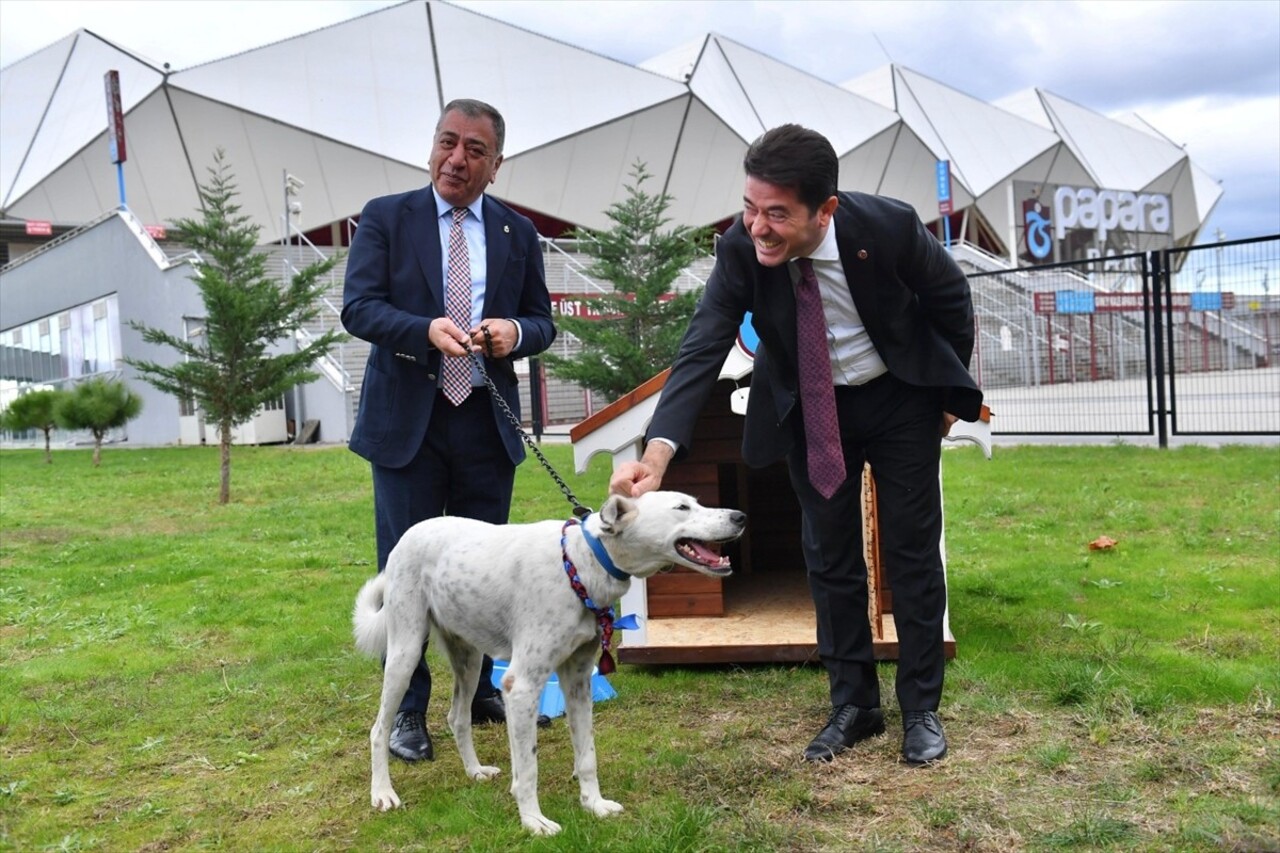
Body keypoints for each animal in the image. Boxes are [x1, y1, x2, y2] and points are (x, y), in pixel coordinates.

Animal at [355, 489, 747, 835]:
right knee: (378, 729)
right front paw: (533, 822)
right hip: (405, 654)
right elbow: (528, 768)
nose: (740, 516)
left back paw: (475, 771)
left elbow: (587, 756)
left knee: (458, 717)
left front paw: (594, 804)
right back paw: (383, 793)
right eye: (681, 507)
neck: (581, 563)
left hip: (469, 659)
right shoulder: (522, 686)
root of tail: (412, 531)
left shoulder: (578, 681)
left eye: (697, 501)